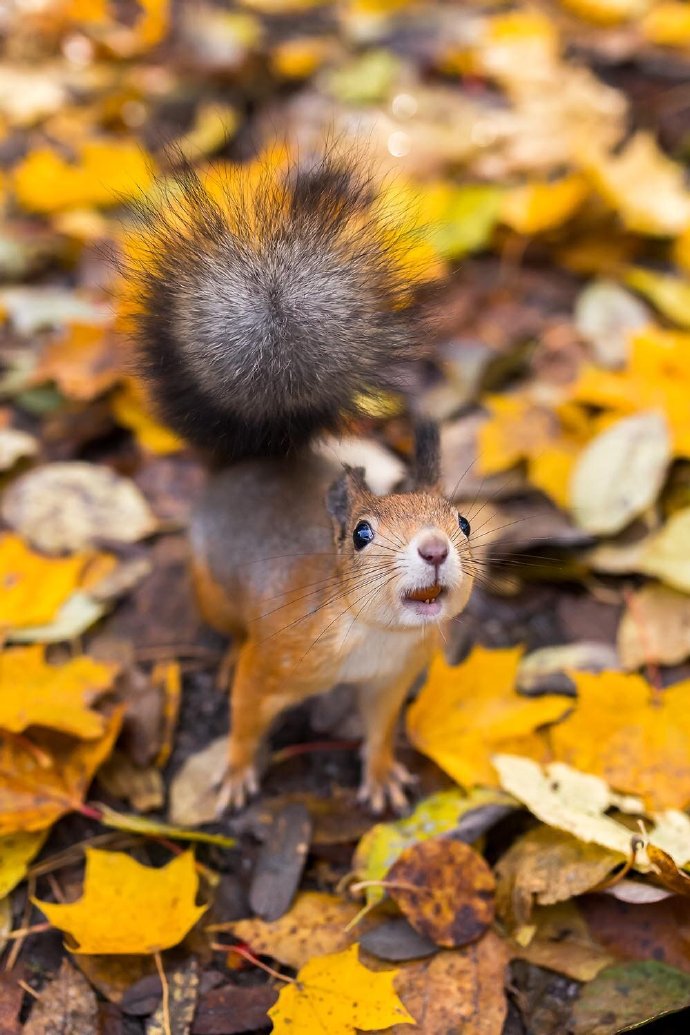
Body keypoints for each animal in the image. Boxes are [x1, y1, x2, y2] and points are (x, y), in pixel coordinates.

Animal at [125, 155, 475, 815]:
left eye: (463, 522)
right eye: (361, 533)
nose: (435, 549)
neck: (374, 636)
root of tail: (247, 464)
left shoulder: (390, 681)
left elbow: (380, 729)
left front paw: (382, 774)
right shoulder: (274, 663)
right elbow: (244, 715)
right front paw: (236, 773)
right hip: (211, 592)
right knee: (230, 634)